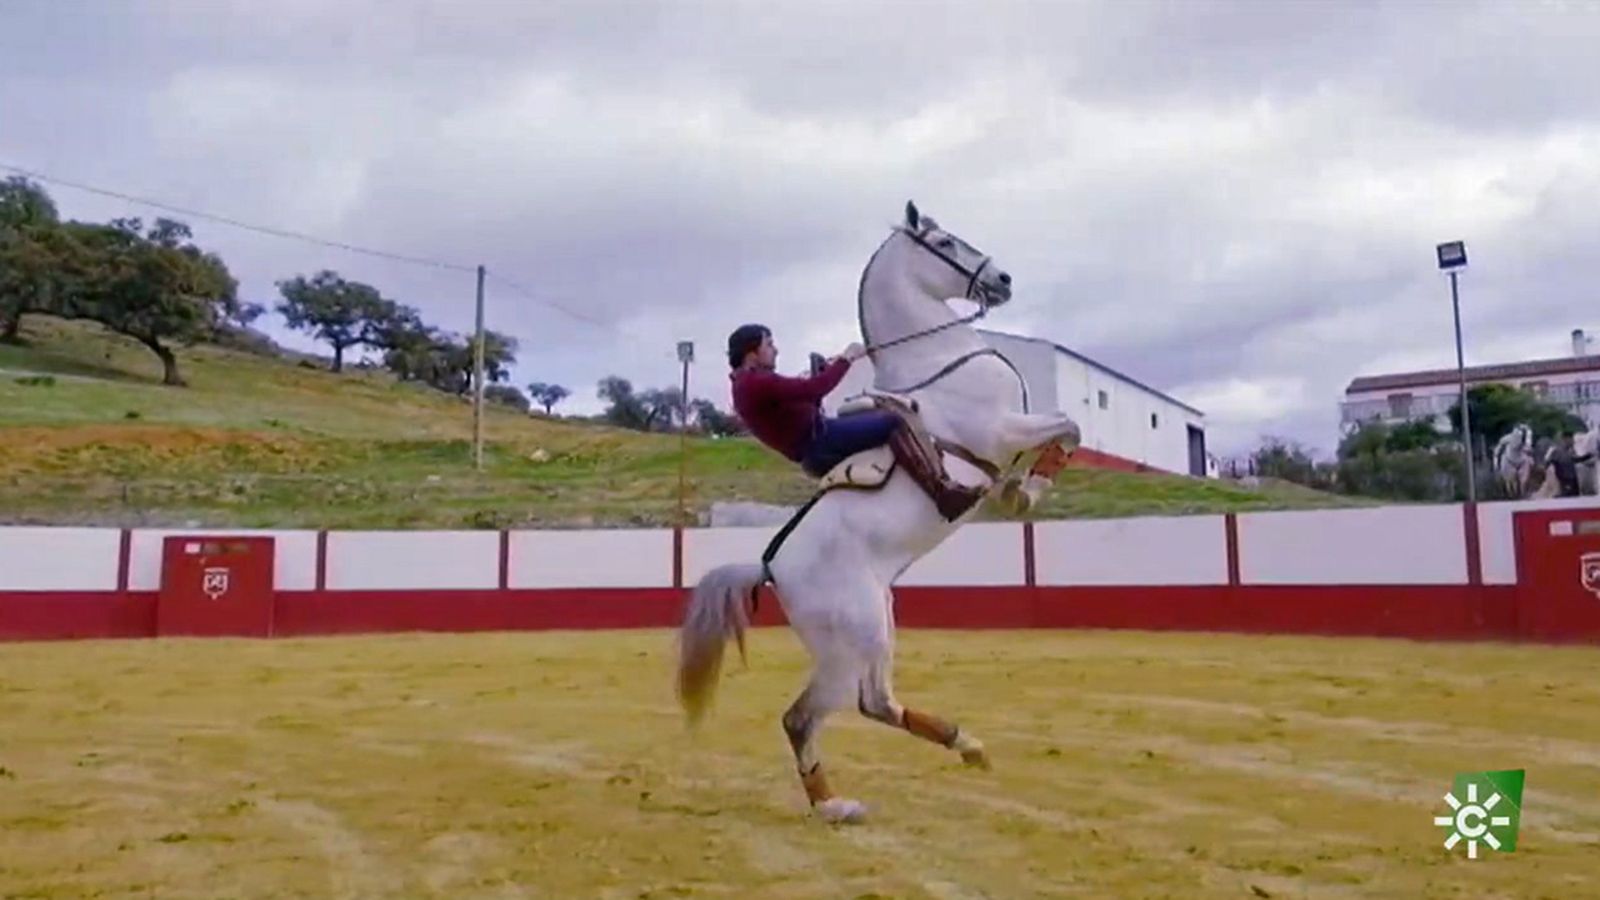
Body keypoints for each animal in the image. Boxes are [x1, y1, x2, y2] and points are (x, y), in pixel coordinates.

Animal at [675, 201, 1082, 824]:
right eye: (944, 241)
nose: (1003, 279)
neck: (938, 357)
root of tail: (770, 568)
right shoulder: (1002, 430)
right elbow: (1069, 426)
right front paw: (1027, 491)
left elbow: (1059, 435)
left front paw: (1019, 489)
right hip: (849, 643)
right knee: (802, 718)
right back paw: (833, 805)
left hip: (879, 626)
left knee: (876, 703)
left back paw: (967, 745)